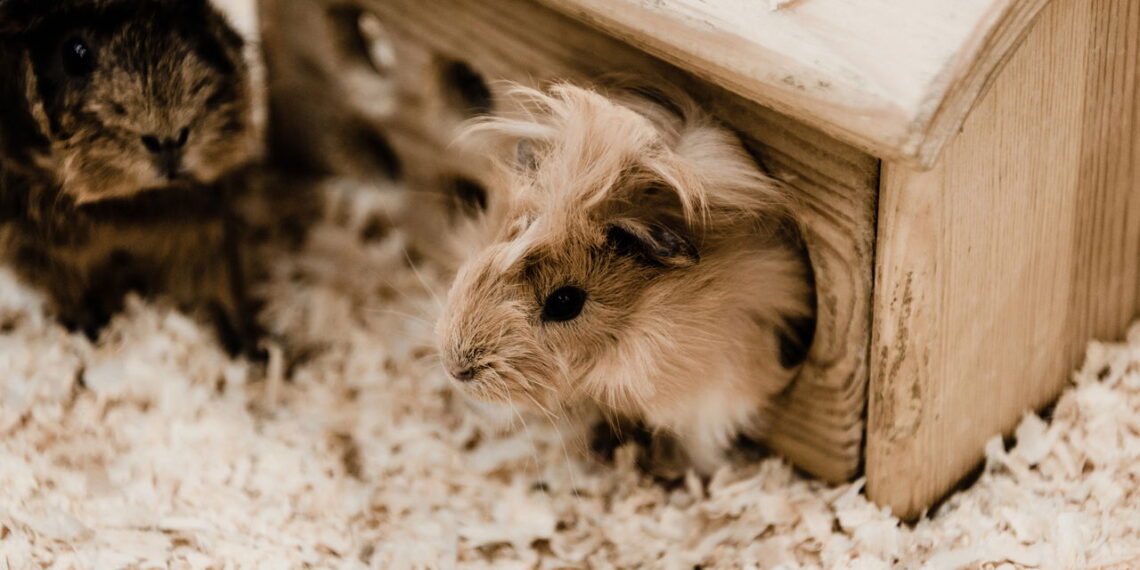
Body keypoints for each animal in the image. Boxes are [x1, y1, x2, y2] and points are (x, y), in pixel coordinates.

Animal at [0, 0, 264, 353]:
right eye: (74, 53)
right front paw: (92, 331)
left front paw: (256, 351)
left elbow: (222, 284)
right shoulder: (36, 243)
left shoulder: (208, 228)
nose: (168, 140)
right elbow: (68, 290)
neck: (125, 204)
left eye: (185, 27)